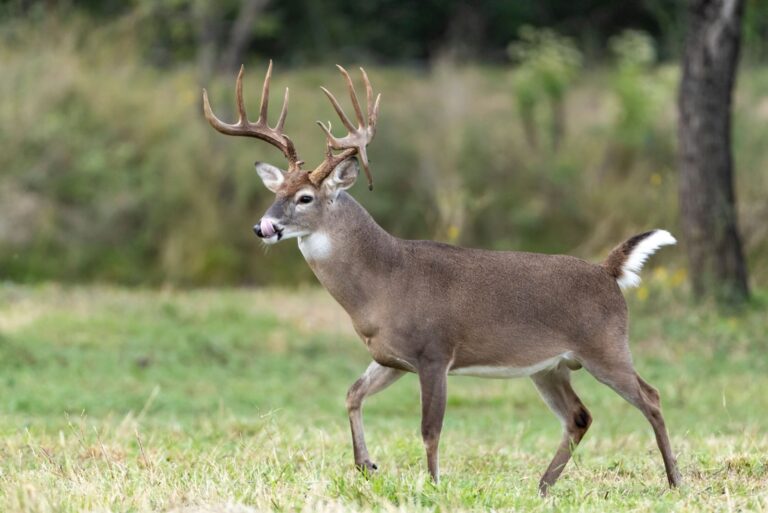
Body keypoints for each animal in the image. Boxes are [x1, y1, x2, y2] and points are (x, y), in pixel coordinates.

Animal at [202, 61, 682, 495]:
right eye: (275, 193)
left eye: (304, 197)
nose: (262, 227)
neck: (384, 282)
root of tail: (608, 272)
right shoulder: (391, 357)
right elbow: (352, 393)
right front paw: (365, 465)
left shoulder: (435, 352)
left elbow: (429, 428)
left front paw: (432, 484)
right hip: (551, 366)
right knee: (579, 416)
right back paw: (542, 486)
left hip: (605, 346)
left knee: (652, 397)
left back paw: (674, 481)